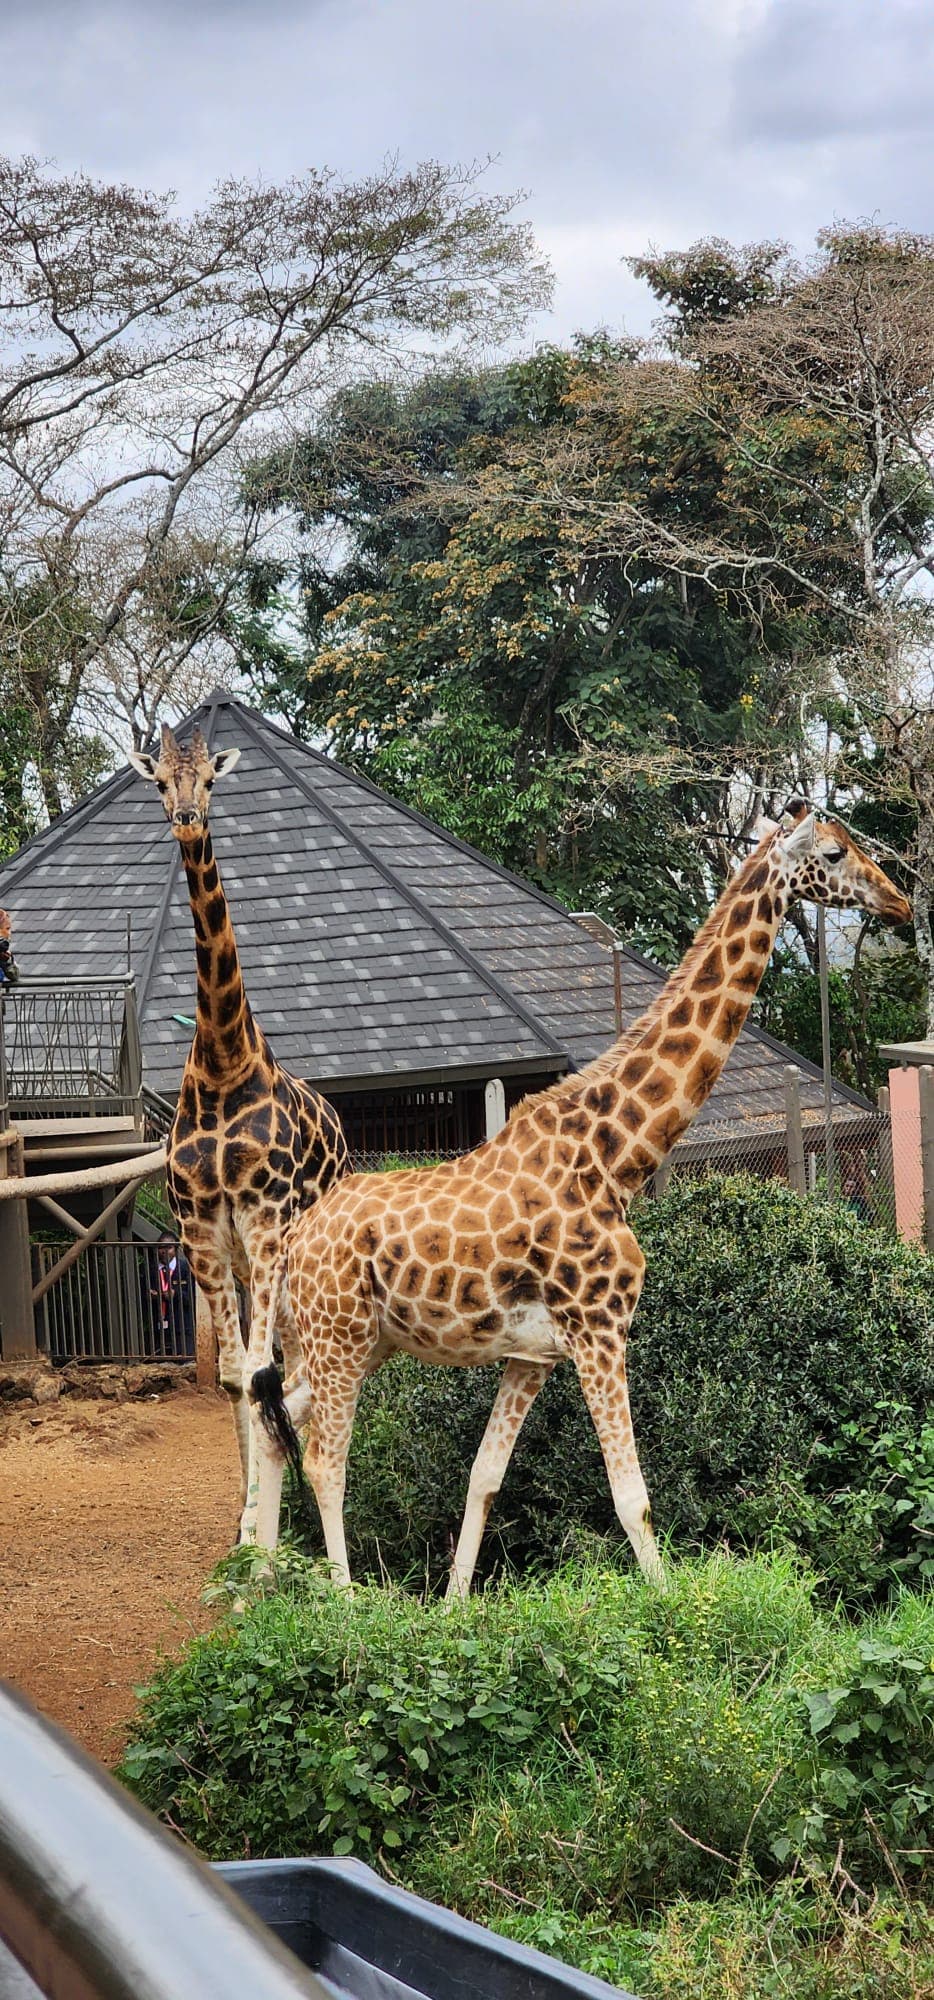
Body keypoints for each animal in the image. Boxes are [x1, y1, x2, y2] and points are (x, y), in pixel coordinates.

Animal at [128, 724, 348, 1537]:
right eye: (160, 781)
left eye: (211, 781)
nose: (188, 820)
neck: (224, 1062)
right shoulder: (200, 1230)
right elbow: (230, 1378)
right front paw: (243, 1528)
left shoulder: (264, 1217)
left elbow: (258, 1374)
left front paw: (263, 1538)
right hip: (258, 1266)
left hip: (293, 1254)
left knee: (298, 1363)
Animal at [249, 804, 911, 1589]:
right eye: (835, 854)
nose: (901, 902)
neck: (616, 1155)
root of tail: (294, 1244)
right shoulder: (600, 1328)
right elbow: (632, 1497)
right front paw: (670, 1609)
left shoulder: (533, 1355)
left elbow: (484, 1478)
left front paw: (455, 1603)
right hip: (341, 1338)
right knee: (324, 1459)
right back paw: (344, 1604)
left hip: (351, 1340)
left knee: (272, 1427)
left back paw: (254, 1589)